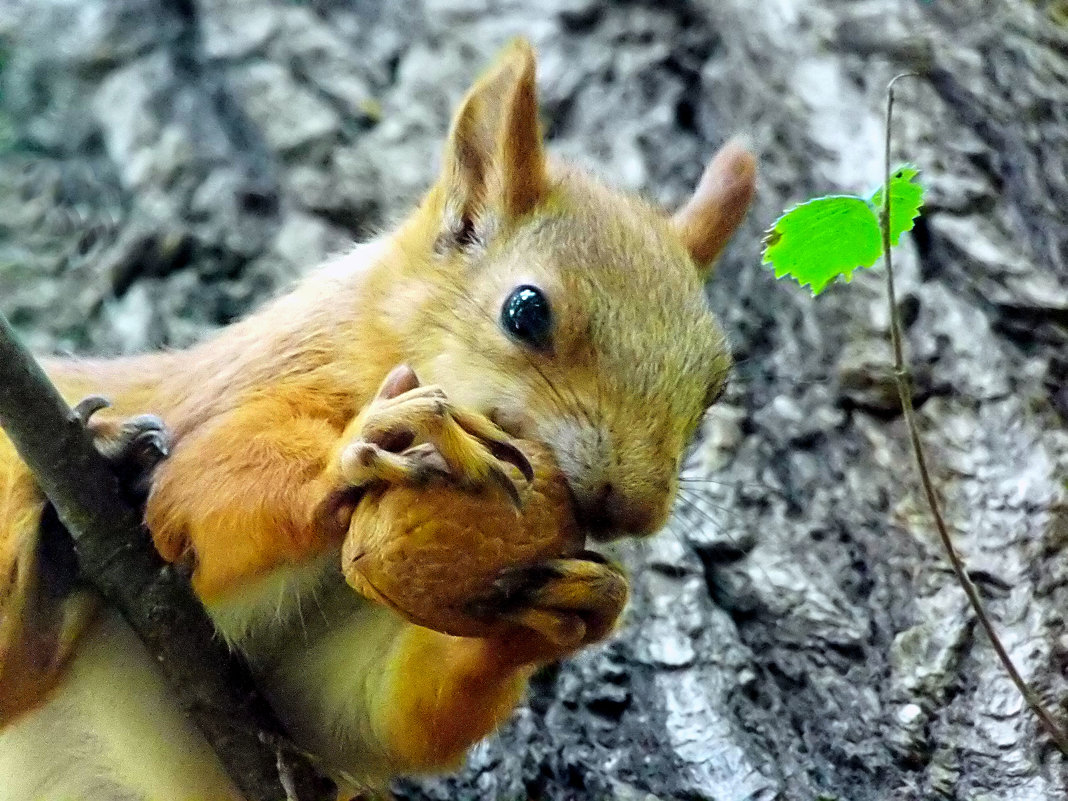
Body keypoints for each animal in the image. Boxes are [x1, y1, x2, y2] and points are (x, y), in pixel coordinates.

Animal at [0, 39, 756, 801]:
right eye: (526, 311)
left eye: (716, 387)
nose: (632, 509)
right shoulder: (235, 388)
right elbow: (193, 491)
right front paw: (361, 450)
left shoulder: (324, 679)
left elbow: (376, 715)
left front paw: (574, 608)